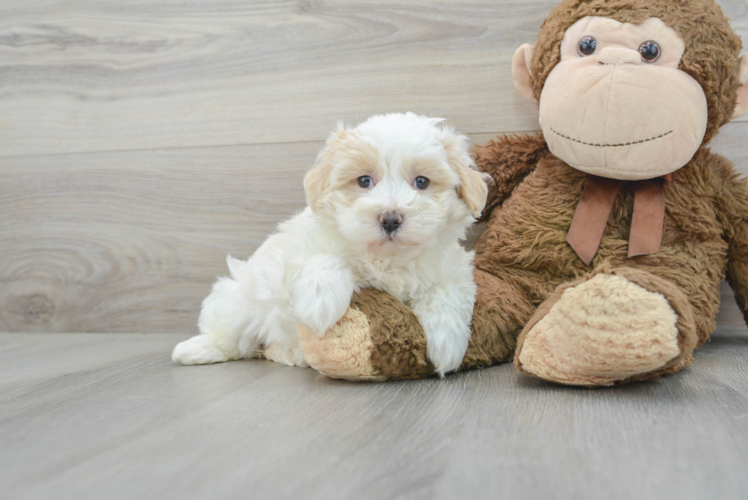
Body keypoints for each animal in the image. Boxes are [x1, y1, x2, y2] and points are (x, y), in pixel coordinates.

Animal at [175, 112, 490, 376]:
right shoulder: (299, 252)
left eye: (422, 182)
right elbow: (326, 258)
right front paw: (320, 304)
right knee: (230, 335)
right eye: (364, 180)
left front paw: (447, 343)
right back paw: (194, 350)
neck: (387, 258)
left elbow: (446, 294)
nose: (390, 218)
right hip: (239, 300)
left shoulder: (452, 271)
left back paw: (292, 355)